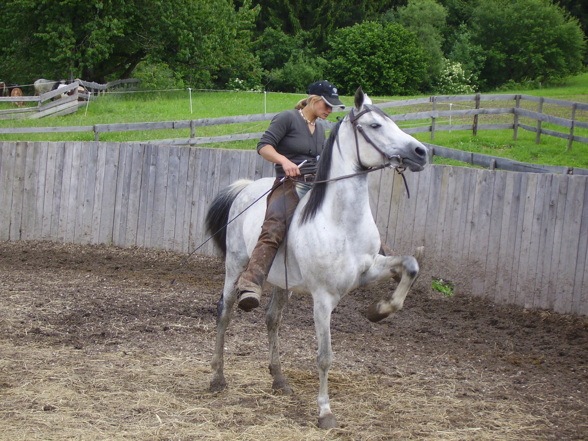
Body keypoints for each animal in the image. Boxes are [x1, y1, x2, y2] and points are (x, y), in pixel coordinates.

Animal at [204, 87, 430, 428]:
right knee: (224, 313)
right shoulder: (323, 298)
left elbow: (410, 266)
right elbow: (324, 357)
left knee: (272, 319)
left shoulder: (367, 270)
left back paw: (279, 379)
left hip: (281, 281)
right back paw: (218, 378)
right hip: (235, 265)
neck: (339, 221)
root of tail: (245, 188)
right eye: (375, 126)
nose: (421, 152)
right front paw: (325, 411)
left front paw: (378, 310)